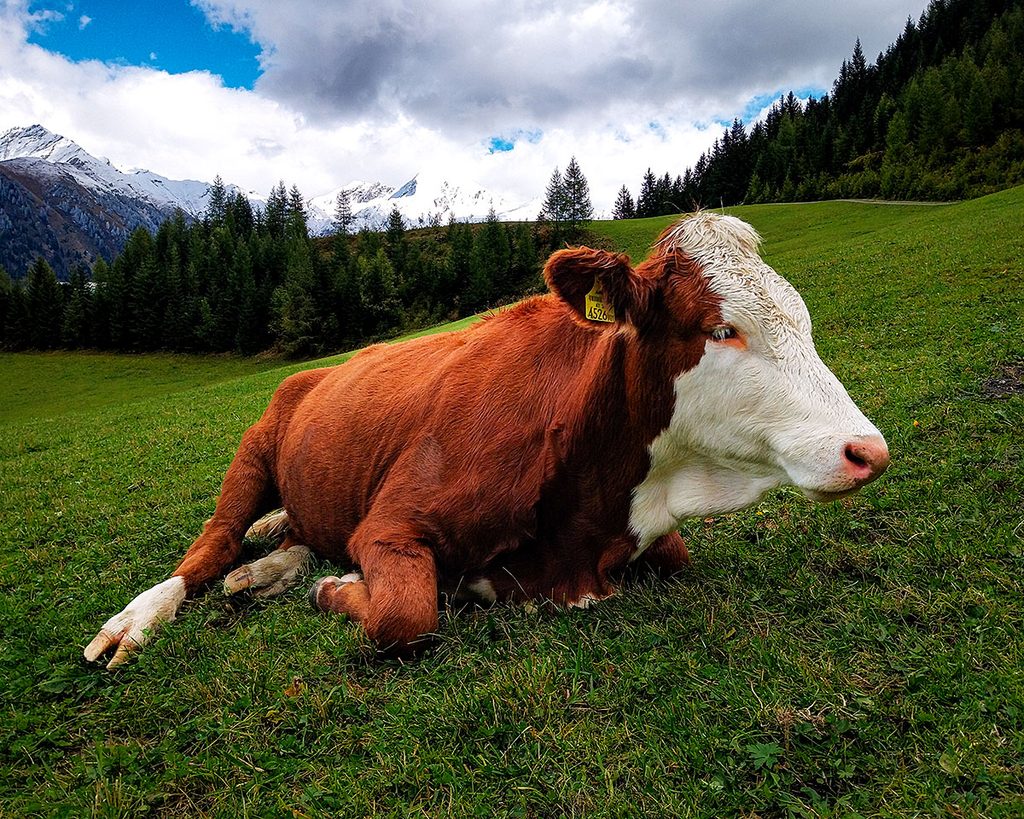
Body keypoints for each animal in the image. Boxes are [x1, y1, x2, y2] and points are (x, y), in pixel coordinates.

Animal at [84, 212, 889, 669]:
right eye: (722, 329)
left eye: (803, 317)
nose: (868, 450)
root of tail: (319, 369)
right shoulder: (391, 524)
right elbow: (406, 617)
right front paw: (336, 589)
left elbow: (678, 556)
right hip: (254, 447)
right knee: (213, 543)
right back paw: (139, 619)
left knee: (288, 536)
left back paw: (267, 567)